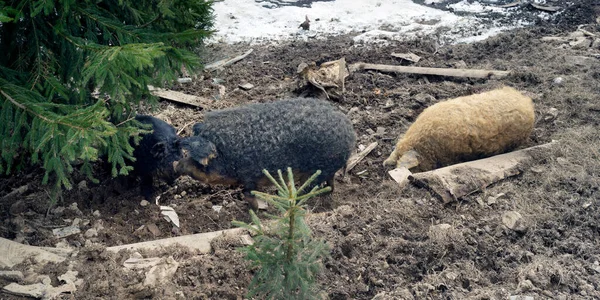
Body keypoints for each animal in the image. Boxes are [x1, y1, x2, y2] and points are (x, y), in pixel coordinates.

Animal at [172, 98, 356, 209]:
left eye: (201, 163)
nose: (176, 164)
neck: (227, 156)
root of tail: (349, 131)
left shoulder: (250, 175)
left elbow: (248, 194)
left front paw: (255, 212)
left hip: (319, 169)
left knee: (312, 187)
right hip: (327, 169)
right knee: (330, 184)